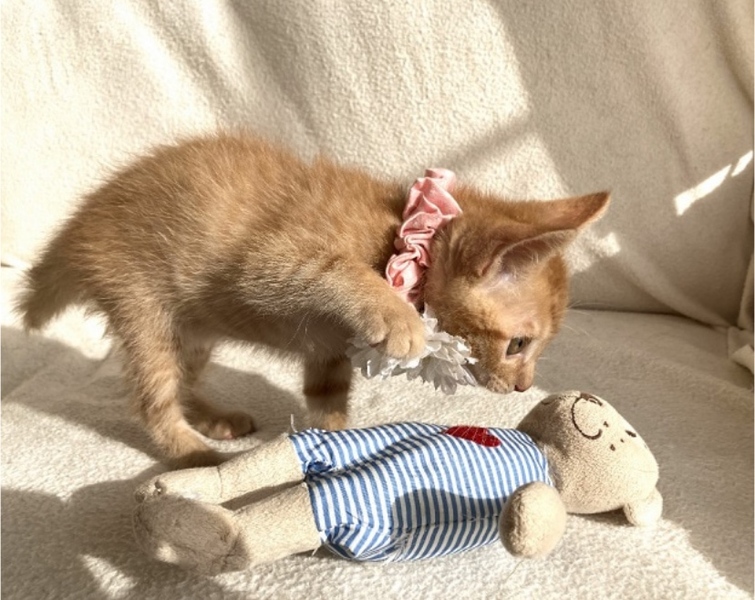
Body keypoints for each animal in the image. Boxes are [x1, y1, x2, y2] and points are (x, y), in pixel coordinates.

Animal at [17, 132, 609, 467]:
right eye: (518, 345)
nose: (524, 386)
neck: (394, 236)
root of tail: (80, 227)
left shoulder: (329, 351)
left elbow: (327, 399)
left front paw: (338, 445)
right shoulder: (269, 261)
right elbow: (333, 269)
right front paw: (398, 318)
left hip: (193, 328)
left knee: (184, 377)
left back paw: (213, 418)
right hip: (144, 311)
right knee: (153, 397)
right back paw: (193, 452)